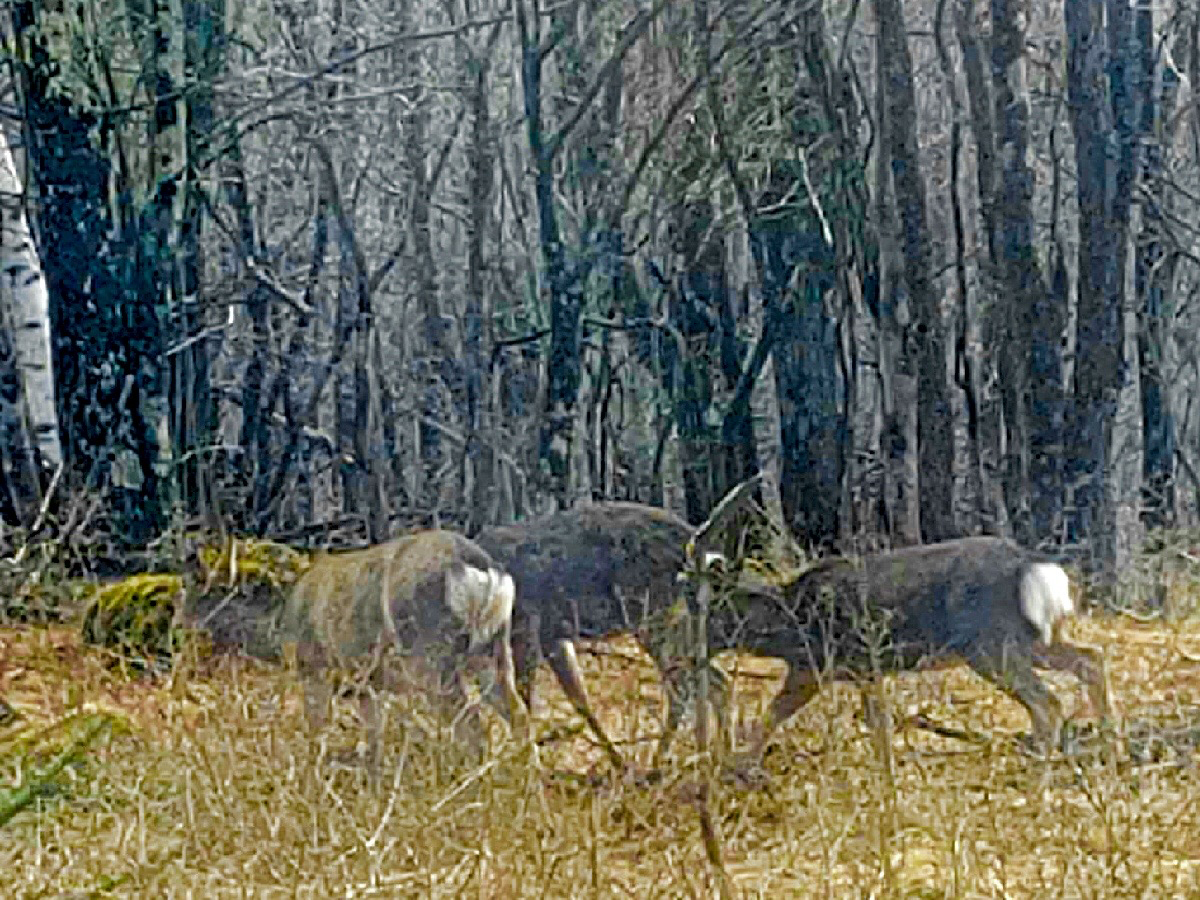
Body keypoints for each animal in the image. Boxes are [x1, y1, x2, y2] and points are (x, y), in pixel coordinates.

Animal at [280, 532, 530, 777]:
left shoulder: (314, 668)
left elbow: (317, 733)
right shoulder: (367, 687)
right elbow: (374, 743)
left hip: (429, 657)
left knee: (472, 725)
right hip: (494, 649)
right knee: (517, 712)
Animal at [696, 535, 1113, 763]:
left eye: (712, 610)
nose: (694, 645)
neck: (789, 622)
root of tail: (1031, 565)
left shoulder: (820, 664)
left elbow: (772, 715)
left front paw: (741, 767)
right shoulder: (857, 669)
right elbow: (873, 722)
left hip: (990, 644)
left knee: (1047, 703)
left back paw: (1040, 770)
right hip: (1032, 639)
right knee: (1090, 658)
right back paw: (1112, 742)